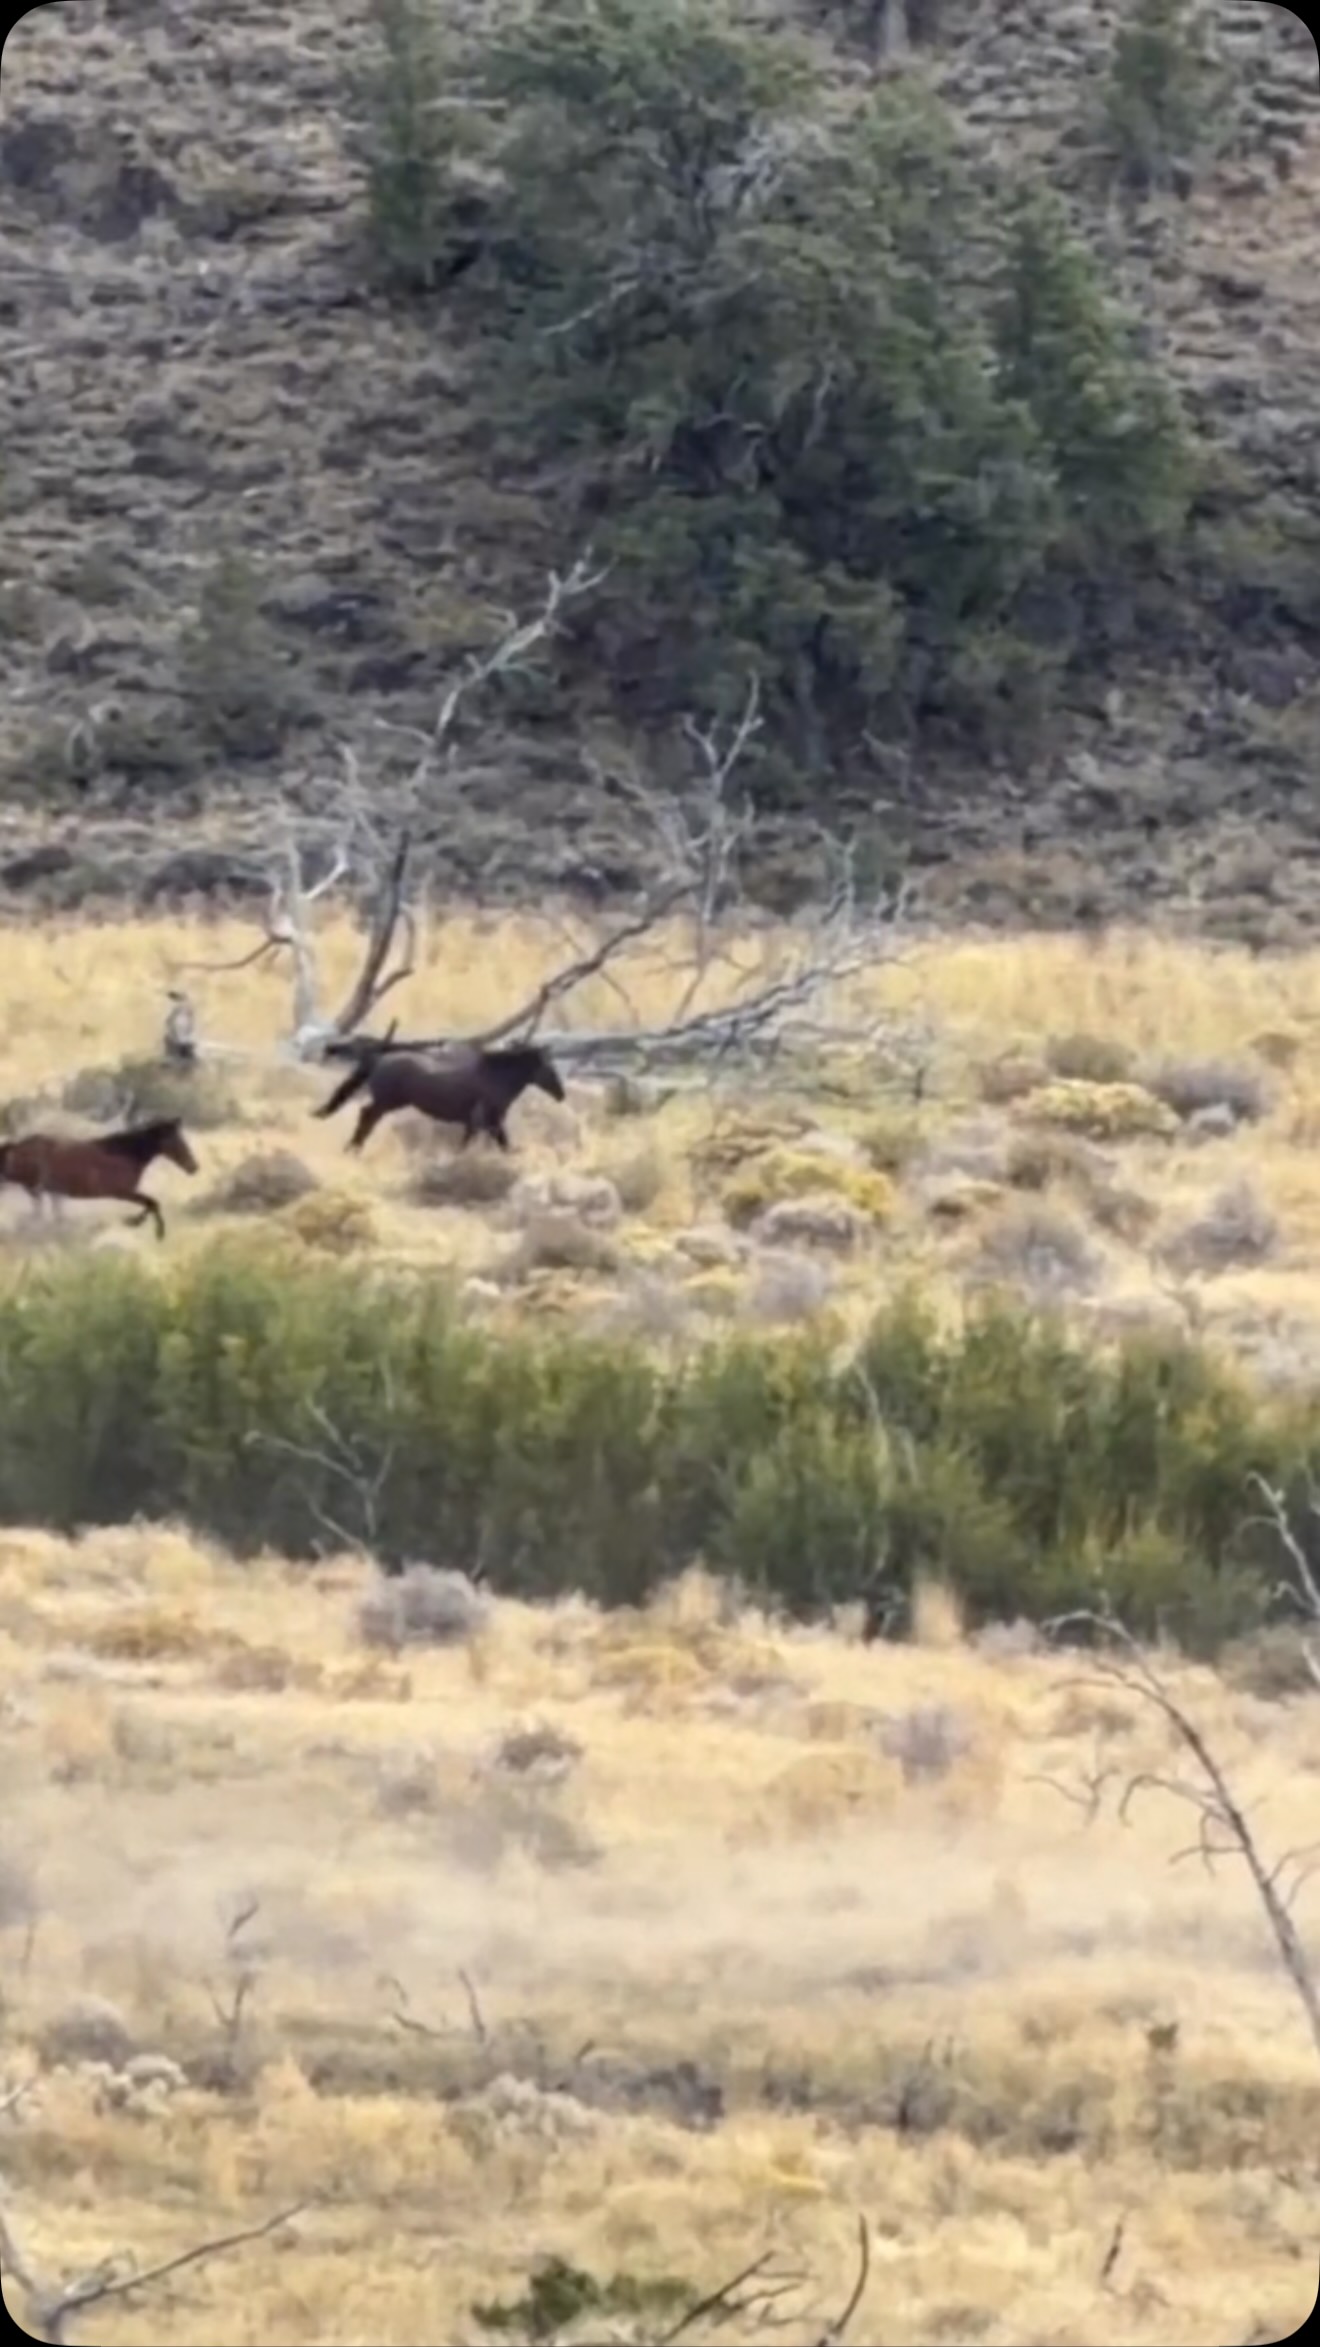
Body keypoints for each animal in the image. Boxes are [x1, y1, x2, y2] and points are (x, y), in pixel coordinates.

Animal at [0, 1117, 199, 1240]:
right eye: (176, 1141)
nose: (193, 1167)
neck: (124, 1154)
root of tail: (17, 1146)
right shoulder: (121, 1192)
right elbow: (152, 1202)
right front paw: (149, 1229)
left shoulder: (126, 1192)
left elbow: (152, 1203)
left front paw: (137, 1223)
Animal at [312, 1042, 567, 1155]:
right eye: (550, 1067)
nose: (562, 1094)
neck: (495, 1076)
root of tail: (378, 1059)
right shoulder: (488, 1118)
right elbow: (494, 1141)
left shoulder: (483, 1121)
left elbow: (497, 1142)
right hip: (387, 1102)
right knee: (366, 1116)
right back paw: (353, 1148)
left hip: (388, 1102)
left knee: (367, 1117)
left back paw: (353, 1148)